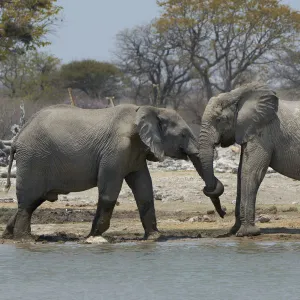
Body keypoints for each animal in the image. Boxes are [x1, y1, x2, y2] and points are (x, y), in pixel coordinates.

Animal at [3, 104, 225, 240]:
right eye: (184, 134)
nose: (223, 213)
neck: (148, 108)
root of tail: (17, 138)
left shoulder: (136, 152)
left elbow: (144, 190)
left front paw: (154, 237)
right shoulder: (116, 149)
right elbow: (109, 191)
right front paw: (93, 236)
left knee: (33, 201)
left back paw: (9, 235)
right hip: (33, 159)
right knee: (29, 201)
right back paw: (26, 239)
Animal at [197, 81, 300, 237]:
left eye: (219, 120)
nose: (223, 213)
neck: (237, 94)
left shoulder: (262, 132)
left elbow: (250, 171)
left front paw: (246, 233)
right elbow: (240, 172)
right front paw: (234, 231)